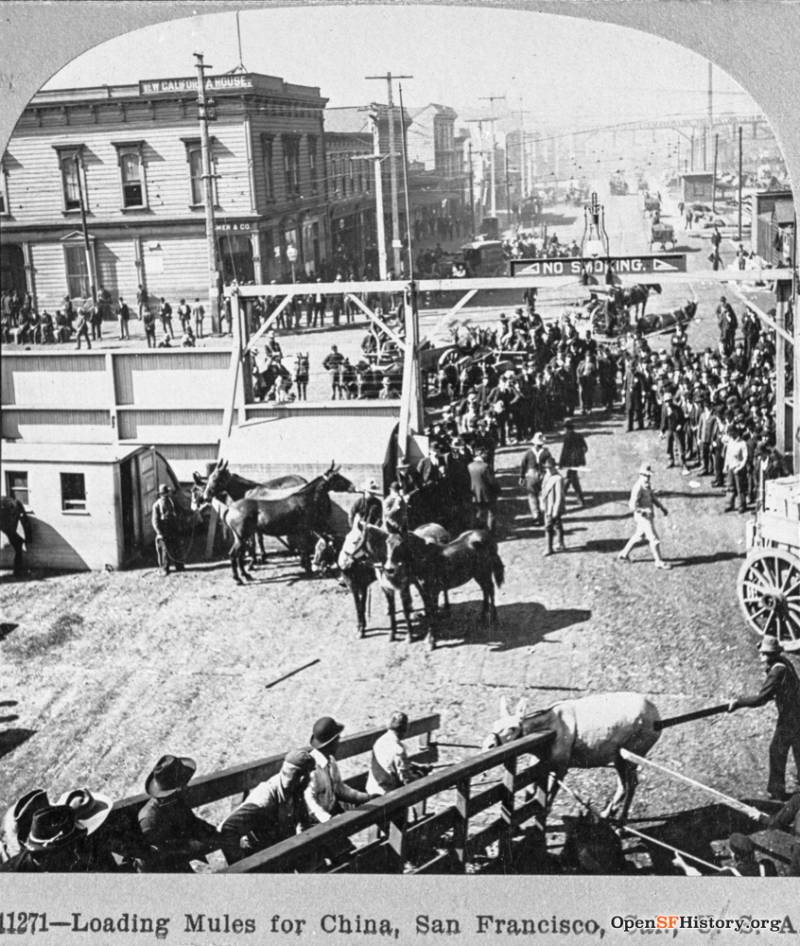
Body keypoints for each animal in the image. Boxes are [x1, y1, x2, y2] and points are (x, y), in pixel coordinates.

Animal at [222, 464, 354, 584]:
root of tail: (231, 508)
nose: (353, 486)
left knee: (239, 555)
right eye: (337, 477)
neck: (304, 499)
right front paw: (308, 569)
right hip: (242, 537)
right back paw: (238, 579)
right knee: (233, 554)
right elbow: (305, 550)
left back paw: (246, 575)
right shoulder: (304, 530)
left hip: (241, 537)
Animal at [482, 688, 664, 824]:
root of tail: (657, 717)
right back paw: (606, 814)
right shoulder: (540, 763)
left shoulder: (562, 765)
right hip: (618, 757)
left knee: (632, 784)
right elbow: (530, 788)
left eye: (512, 728)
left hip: (635, 751)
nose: (488, 745)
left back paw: (621, 823)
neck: (550, 731)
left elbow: (551, 792)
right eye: (494, 724)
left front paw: (545, 812)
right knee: (623, 785)